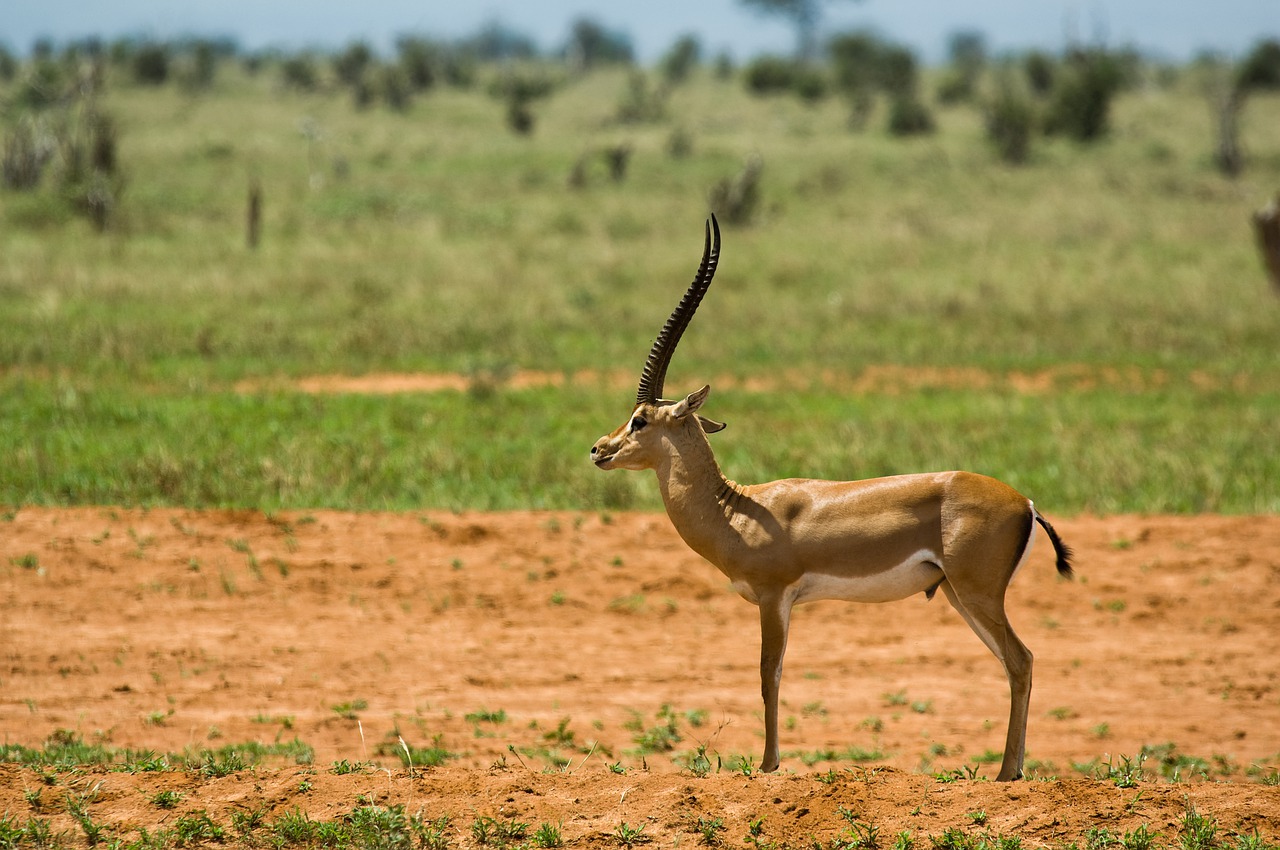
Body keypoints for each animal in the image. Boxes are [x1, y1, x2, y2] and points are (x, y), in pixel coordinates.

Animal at [588, 216, 1070, 778]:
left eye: (640, 420)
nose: (598, 450)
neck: (736, 510)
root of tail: (1026, 504)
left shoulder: (774, 596)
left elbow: (768, 673)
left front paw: (768, 765)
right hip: (957, 593)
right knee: (1016, 663)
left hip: (977, 594)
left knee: (1021, 659)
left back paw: (1005, 773)